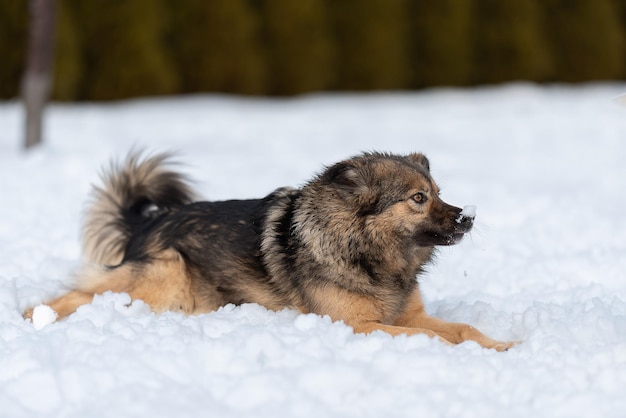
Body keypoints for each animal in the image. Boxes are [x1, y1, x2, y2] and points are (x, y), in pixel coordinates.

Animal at [23, 152, 512, 352]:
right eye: (417, 199)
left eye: (438, 193)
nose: (468, 218)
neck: (366, 251)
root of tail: (148, 221)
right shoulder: (357, 325)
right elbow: (430, 337)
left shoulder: (407, 315)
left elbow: (463, 328)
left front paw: (503, 345)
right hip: (167, 278)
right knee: (81, 293)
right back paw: (35, 316)